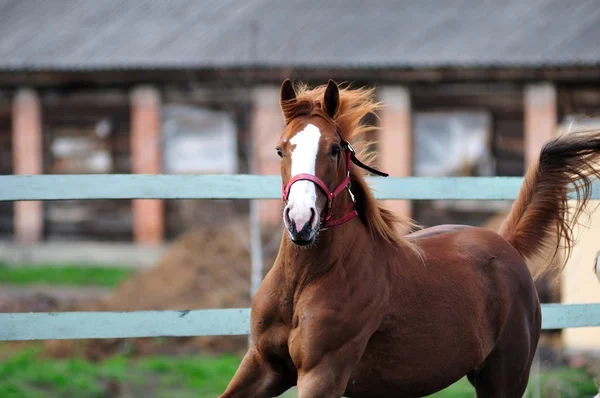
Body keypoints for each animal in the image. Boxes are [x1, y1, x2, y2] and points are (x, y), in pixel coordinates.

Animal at [220, 79, 600, 396]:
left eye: (334, 149)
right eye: (281, 149)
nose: (301, 221)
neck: (304, 280)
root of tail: (505, 243)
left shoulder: (322, 372)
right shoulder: (263, 365)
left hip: (505, 377)